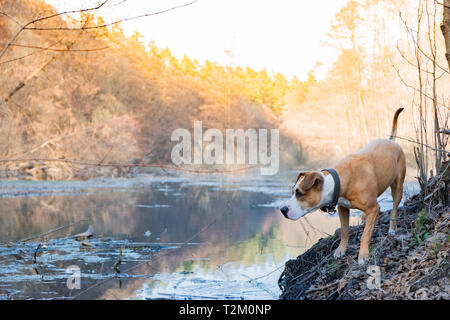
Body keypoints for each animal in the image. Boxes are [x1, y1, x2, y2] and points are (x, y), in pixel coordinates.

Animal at [280, 108, 406, 264]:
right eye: (293, 191)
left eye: (299, 193)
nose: (282, 209)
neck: (338, 181)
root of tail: (390, 141)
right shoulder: (343, 208)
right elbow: (345, 230)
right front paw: (341, 250)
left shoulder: (374, 208)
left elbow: (366, 234)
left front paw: (363, 255)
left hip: (398, 186)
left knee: (394, 207)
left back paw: (392, 228)